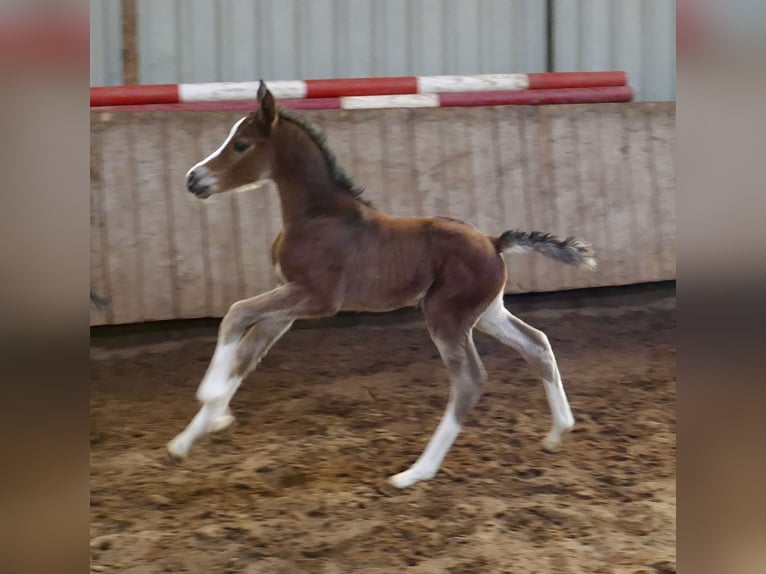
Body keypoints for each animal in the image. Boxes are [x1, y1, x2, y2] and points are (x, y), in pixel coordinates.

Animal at [167, 81, 596, 489]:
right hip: (487, 313)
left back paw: (414, 473)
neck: (317, 216)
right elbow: (245, 356)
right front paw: (190, 436)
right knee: (536, 344)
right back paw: (557, 432)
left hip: (445, 316)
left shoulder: (316, 298)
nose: (192, 179)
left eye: (241, 144)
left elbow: (235, 313)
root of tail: (493, 242)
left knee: (470, 380)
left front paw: (210, 396)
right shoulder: (287, 307)